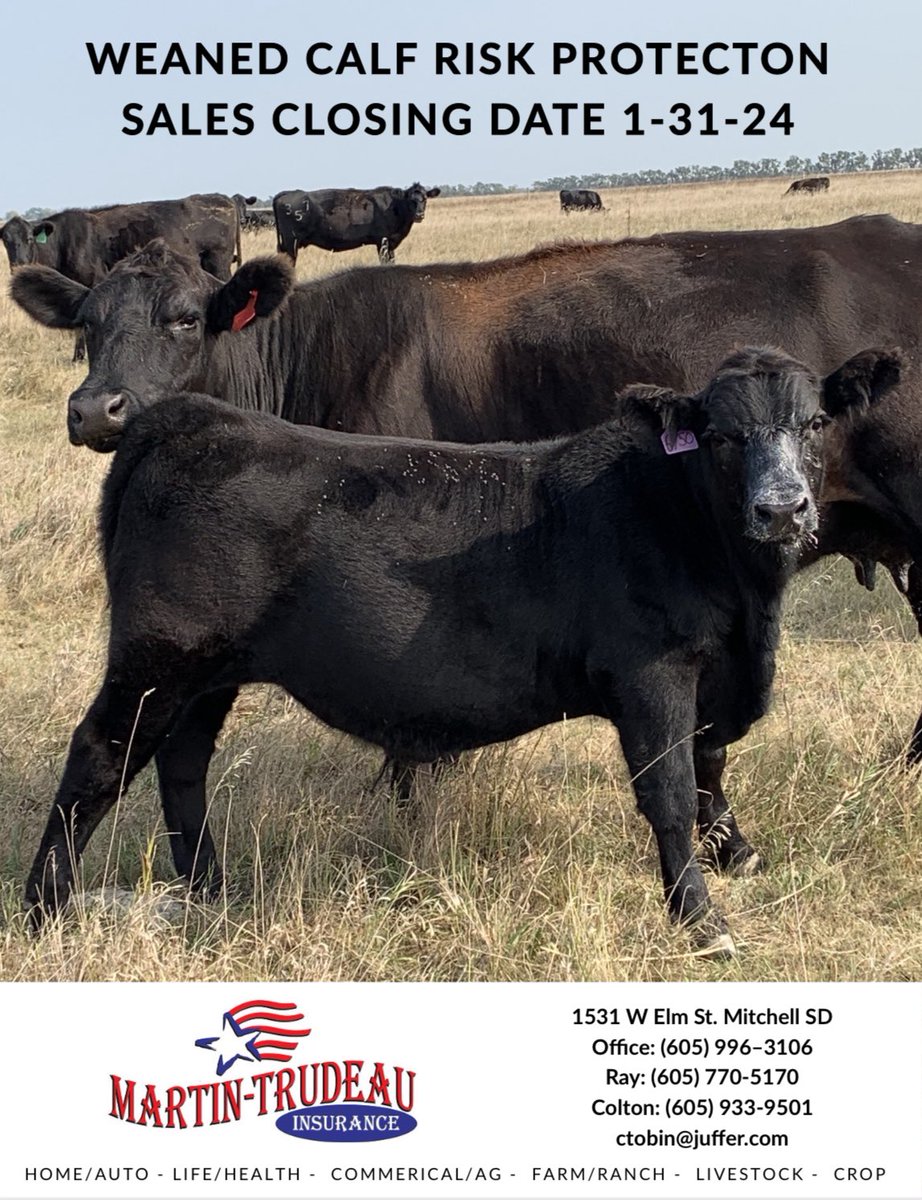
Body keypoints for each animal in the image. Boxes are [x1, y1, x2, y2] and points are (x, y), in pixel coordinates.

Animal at [24, 347, 897, 953]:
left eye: (815, 424)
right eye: (718, 435)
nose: (781, 509)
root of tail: (196, 418)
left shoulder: (715, 673)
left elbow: (712, 764)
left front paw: (735, 855)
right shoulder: (652, 672)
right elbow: (672, 790)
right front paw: (701, 921)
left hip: (209, 673)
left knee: (182, 763)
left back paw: (211, 890)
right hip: (158, 656)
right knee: (99, 757)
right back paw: (43, 908)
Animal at [272, 183, 441, 264]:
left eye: (425, 198)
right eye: (411, 200)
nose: (419, 214)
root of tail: (289, 192)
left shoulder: (391, 244)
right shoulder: (383, 241)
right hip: (291, 244)